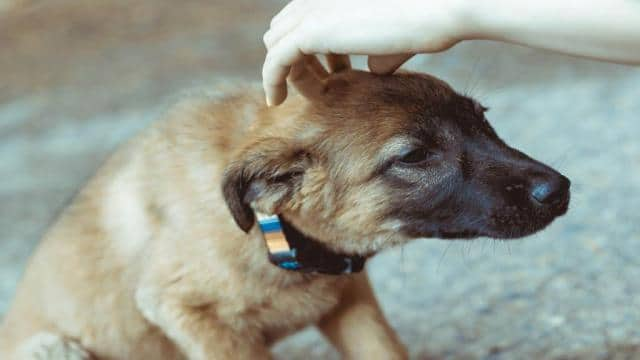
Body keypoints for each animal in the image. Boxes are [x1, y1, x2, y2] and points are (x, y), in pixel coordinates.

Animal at [0, 54, 568, 358]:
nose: (560, 189)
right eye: (413, 156)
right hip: (53, 345)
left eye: (483, 119)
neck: (273, 231)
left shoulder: (352, 301)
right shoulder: (186, 311)